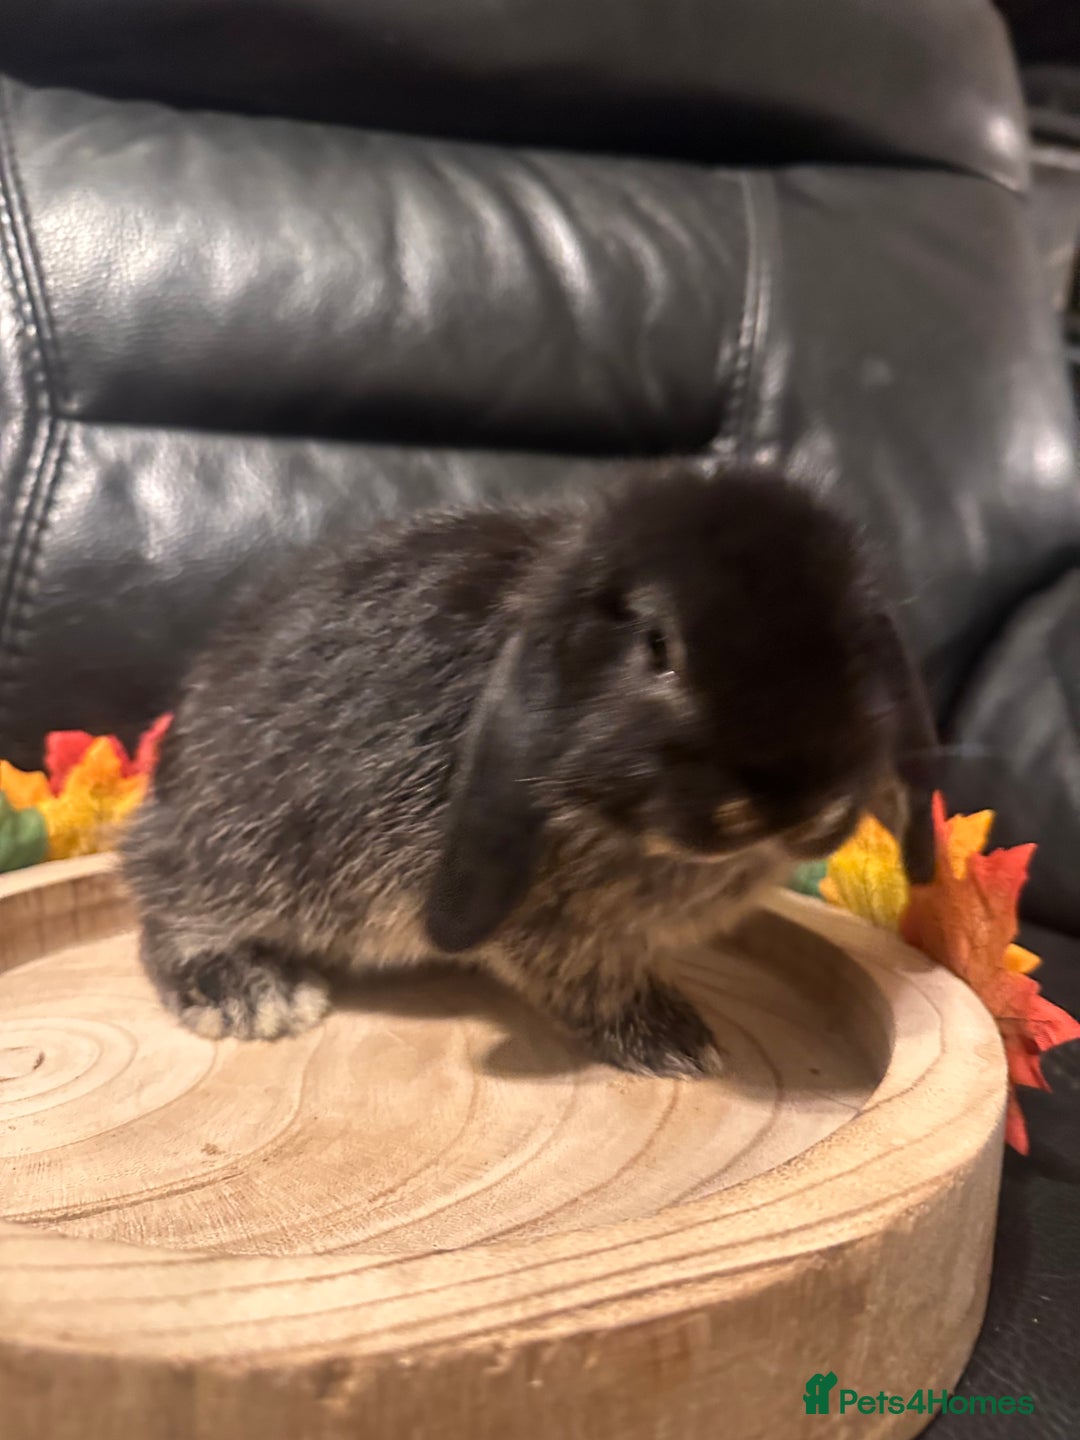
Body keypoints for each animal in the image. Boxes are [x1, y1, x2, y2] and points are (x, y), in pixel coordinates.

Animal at [121, 464, 937, 1078]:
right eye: (657, 647)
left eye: (855, 642)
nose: (798, 803)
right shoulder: (544, 921)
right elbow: (586, 979)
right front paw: (676, 1041)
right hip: (245, 853)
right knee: (167, 909)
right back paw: (250, 994)